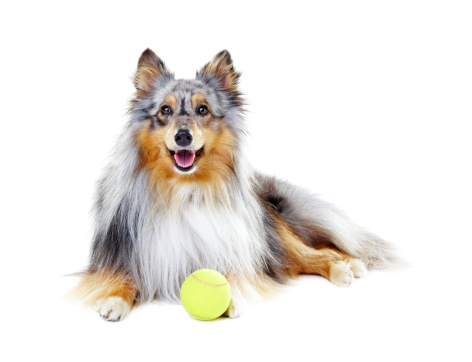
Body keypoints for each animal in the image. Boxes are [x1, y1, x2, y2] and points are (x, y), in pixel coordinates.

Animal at [74, 47, 398, 320]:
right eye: (164, 111)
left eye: (203, 110)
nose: (183, 137)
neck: (184, 189)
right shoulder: (125, 253)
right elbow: (122, 276)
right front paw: (114, 299)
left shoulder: (234, 248)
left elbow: (233, 274)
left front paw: (230, 298)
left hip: (272, 235)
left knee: (317, 253)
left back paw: (347, 266)